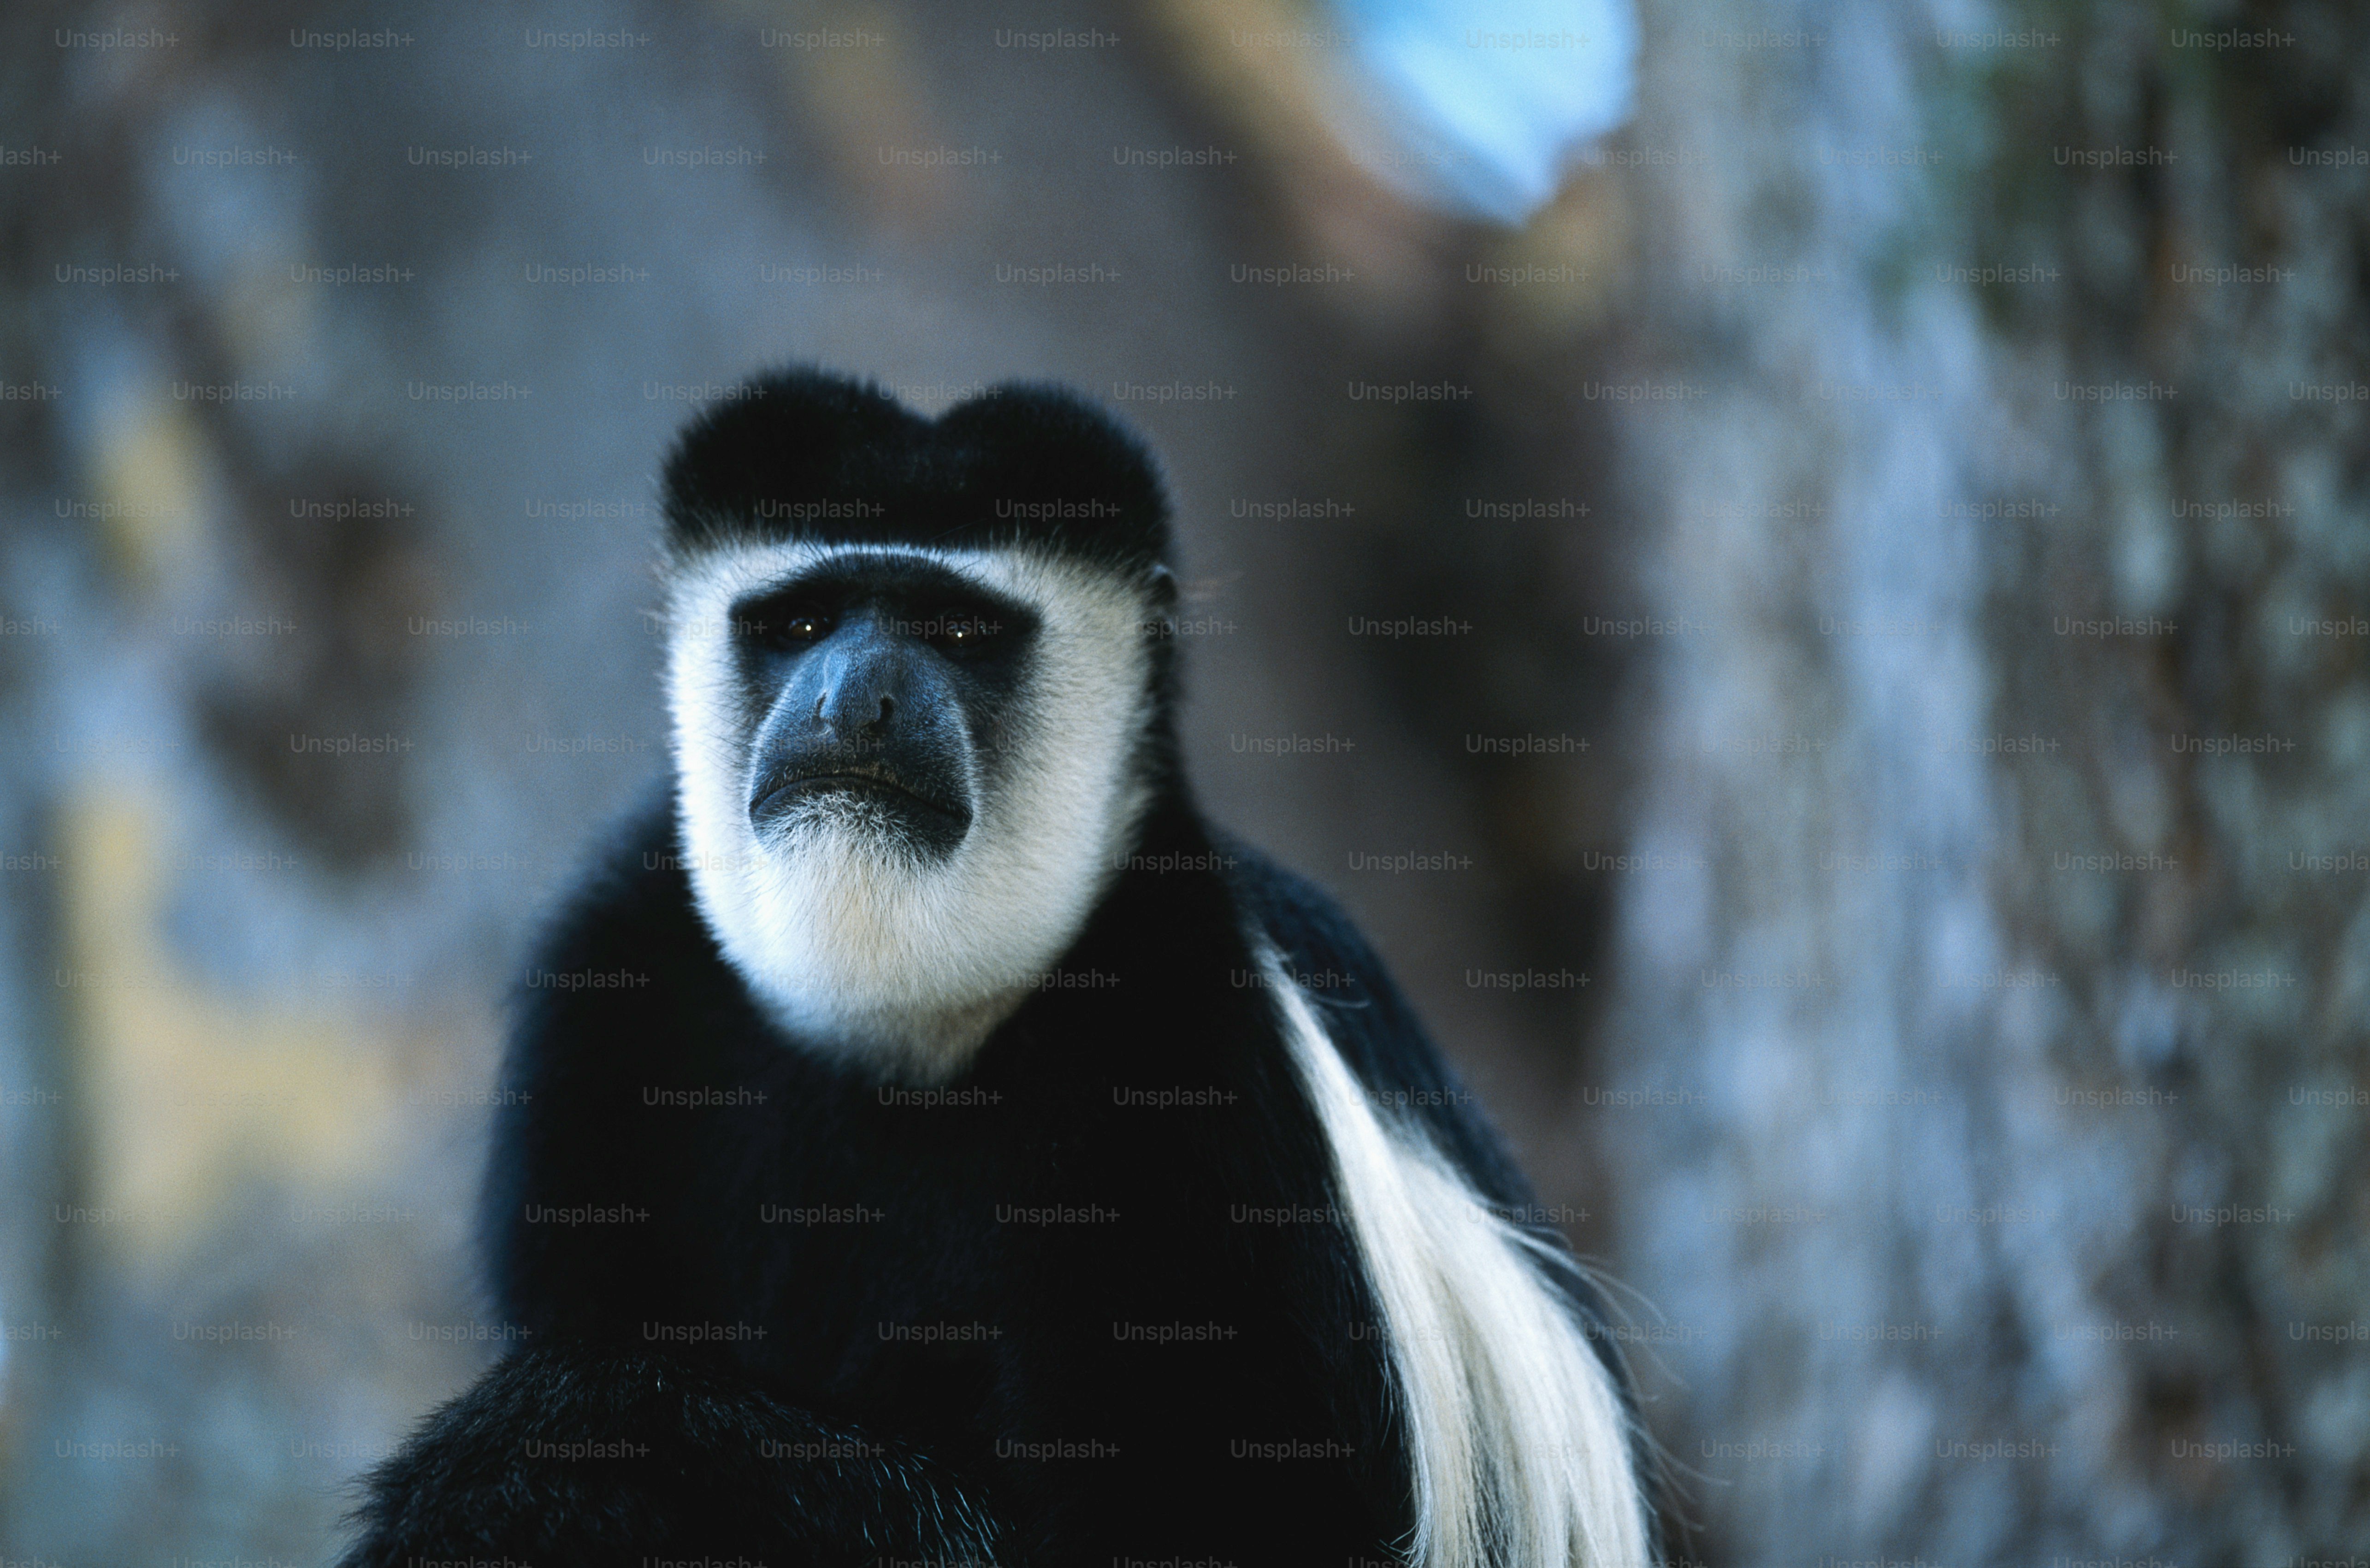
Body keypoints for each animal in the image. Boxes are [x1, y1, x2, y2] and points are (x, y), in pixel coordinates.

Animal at [339, 368, 1658, 1568]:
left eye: (961, 631)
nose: (851, 703)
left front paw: (603, 1441)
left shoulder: (1210, 1073)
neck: (909, 1034)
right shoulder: (615, 971)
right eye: (801, 623)